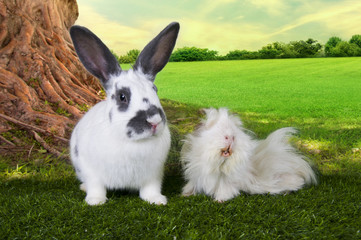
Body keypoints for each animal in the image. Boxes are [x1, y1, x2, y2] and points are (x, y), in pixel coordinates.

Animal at [68, 22, 179, 205]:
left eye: (155, 89)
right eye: (122, 96)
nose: (154, 121)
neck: (134, 143)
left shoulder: (154, 174)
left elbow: (150, 188)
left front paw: (156, 200)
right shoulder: (91, 170)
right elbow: (96, 186)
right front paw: (95, 201)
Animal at [180, 108, 316, 202]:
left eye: (233, 130)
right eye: (216, 128)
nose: (230, 137)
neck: (220, 163)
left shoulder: (226, 183)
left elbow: (225, 191)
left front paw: (218, 201)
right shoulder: (197, 177)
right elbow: (191, 186)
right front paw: (184, 194)